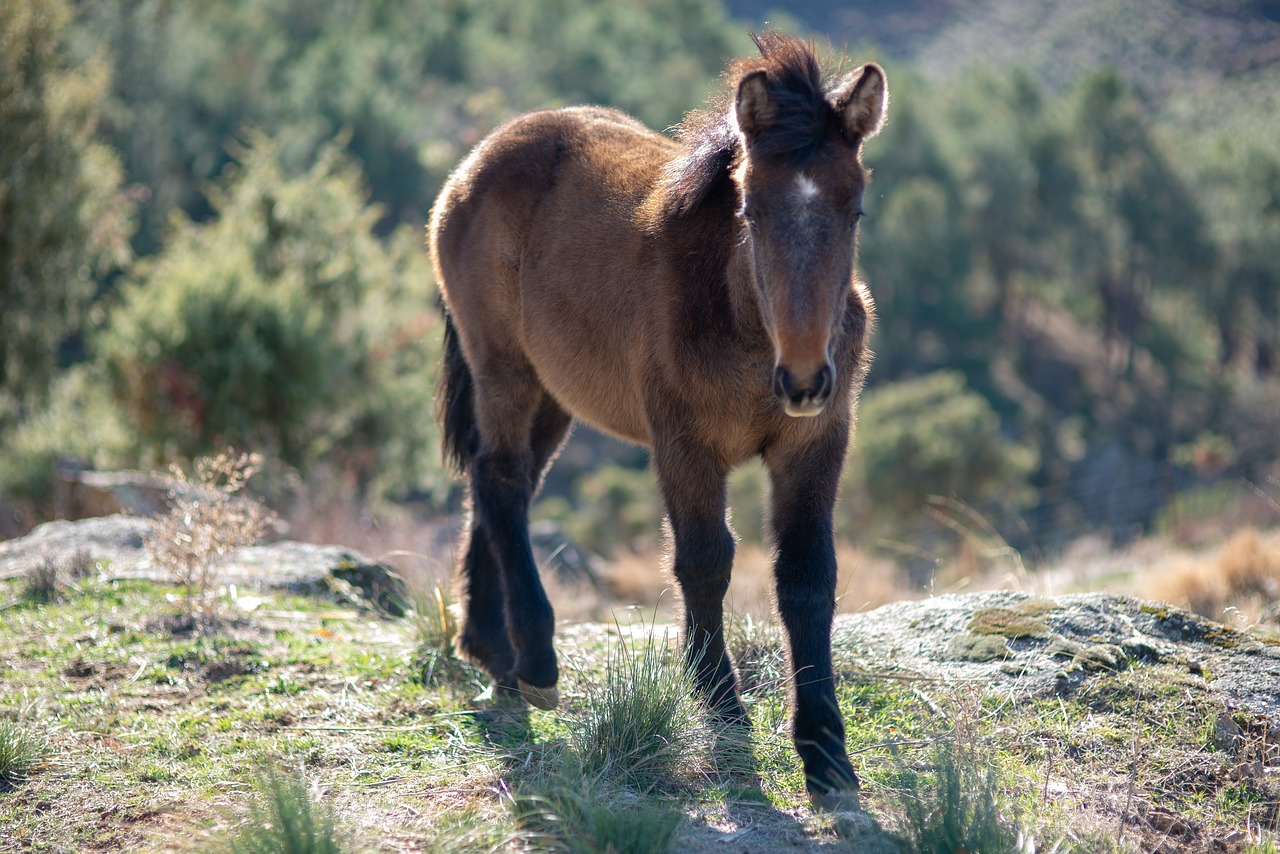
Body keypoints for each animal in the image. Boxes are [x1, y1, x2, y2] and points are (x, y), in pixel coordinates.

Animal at [430, 33, 890, 809]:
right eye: (750, 210)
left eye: (854, 210)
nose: (803, 379)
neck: (740, 325)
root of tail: (478, 161)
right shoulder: (684, 446)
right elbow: (705, 561)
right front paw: (721, 704)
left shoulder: (814, 444)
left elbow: (806, 578)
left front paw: (827, 753)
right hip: (504, 369)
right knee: (500, 480)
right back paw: (536, 660)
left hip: (557, 396)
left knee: (499, 488)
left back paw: (493, 650)